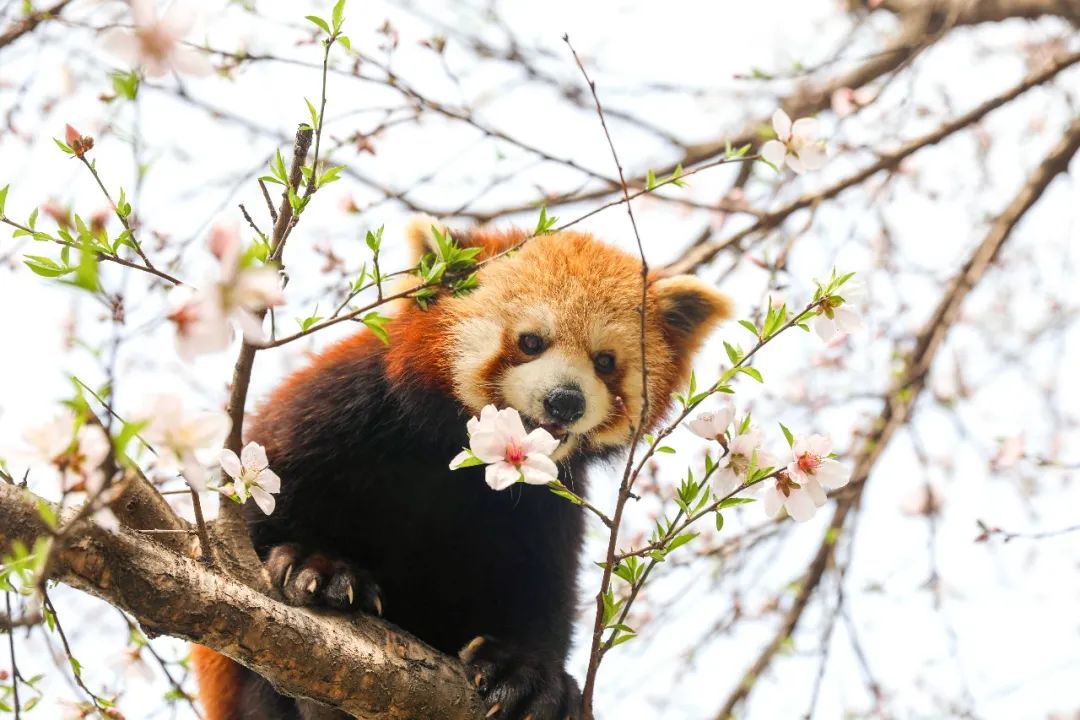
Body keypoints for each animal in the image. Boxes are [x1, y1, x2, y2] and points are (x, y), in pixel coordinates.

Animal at [194, 220, 734, 720]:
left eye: (605, 361)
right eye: (530, 342)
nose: (565, 400)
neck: (461, 456)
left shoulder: (543, 503)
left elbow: (539, 591)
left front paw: (527, 674)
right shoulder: (339, 407)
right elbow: (255, 518)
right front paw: (316, 565)